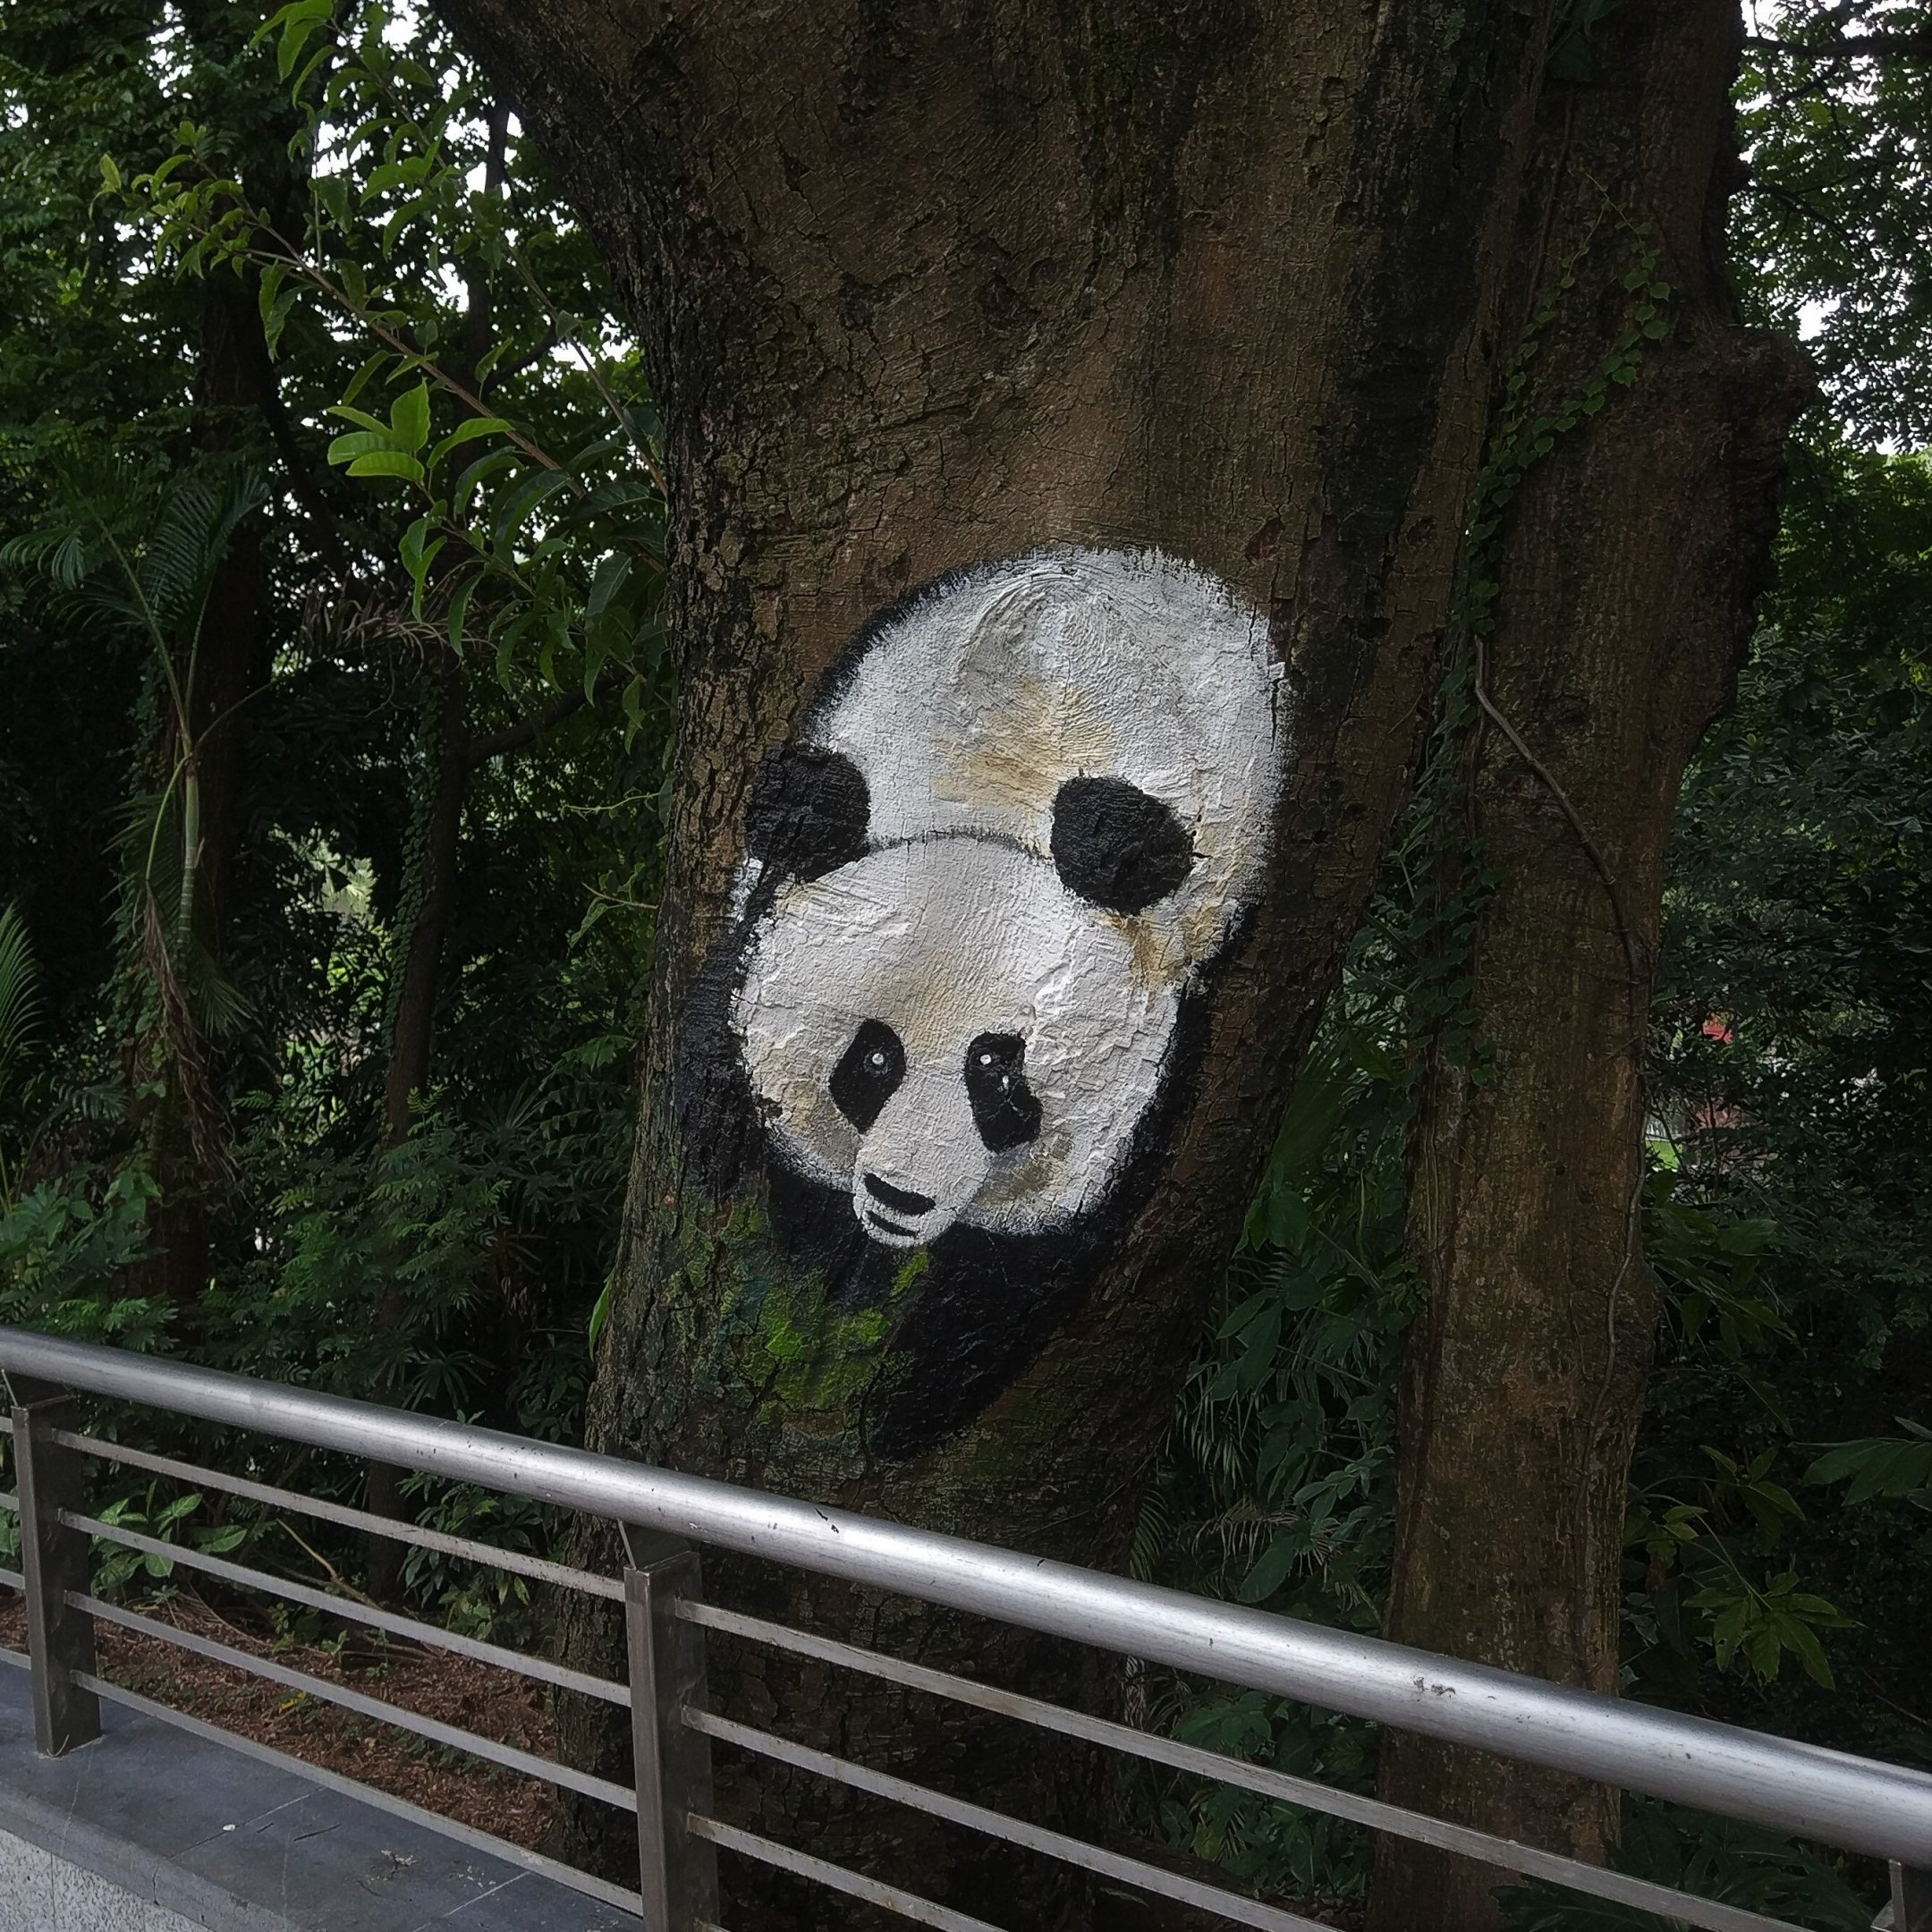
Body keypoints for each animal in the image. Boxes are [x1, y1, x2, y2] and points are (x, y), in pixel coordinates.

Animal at [676, 547, 1285, 1452]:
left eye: (999, 1077)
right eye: (873, 1060)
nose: (901, 1198)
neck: (998, 812)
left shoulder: (1158, 1010)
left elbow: (1029, 1265)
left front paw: (908, 1406)